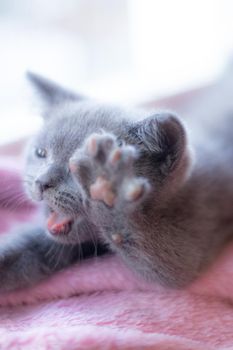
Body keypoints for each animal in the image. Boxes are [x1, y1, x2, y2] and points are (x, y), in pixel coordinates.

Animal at [0, 70, 233, 290]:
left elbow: (172, 268)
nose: (41, 182)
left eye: (76, 170)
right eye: (40, 153)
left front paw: (110, 189)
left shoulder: (200, 220)